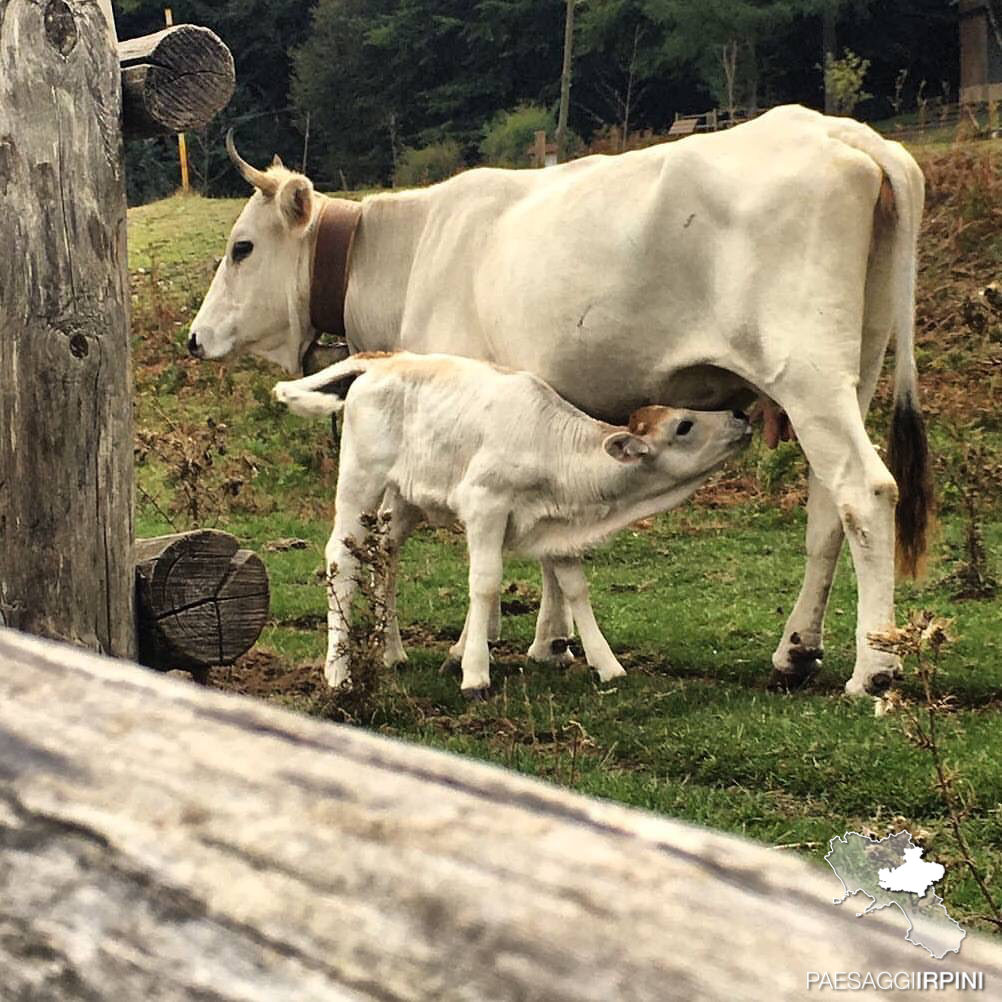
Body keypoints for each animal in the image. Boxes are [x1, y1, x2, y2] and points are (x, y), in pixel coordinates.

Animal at [270, 352, 749, 697]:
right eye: (684, 426)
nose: (740, 417)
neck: (552, 447)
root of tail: (384, 359)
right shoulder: (484, 503)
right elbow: (485, 582)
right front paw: (474, 673)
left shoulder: (557, 524)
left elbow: (574, 587)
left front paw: (607, 664)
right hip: (360, 478)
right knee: (342, 558)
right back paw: (338, 673)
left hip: (404, 499)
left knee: (386, 554)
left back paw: (391, 652)